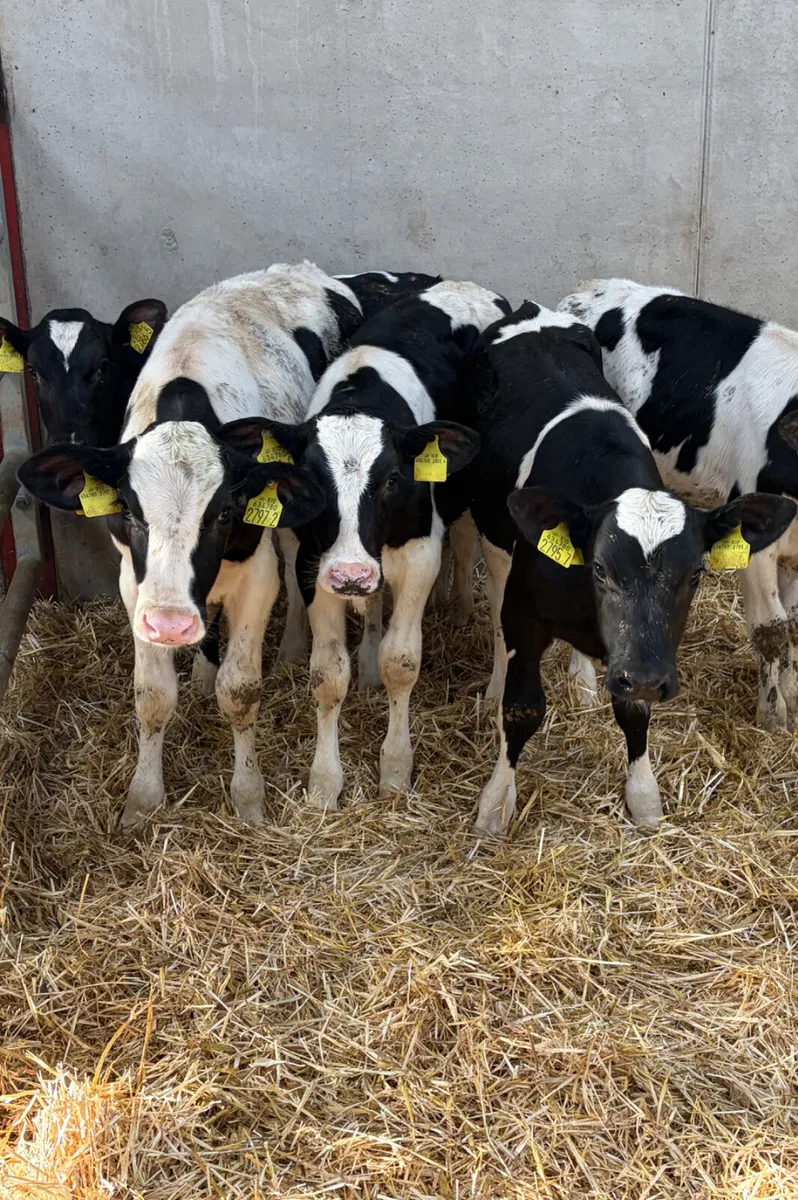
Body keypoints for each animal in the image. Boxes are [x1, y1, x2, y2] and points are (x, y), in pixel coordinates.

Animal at [18, 262, 373, 827]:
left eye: (225, 512)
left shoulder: (256, 575)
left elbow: (240, 688)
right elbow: (153, 694)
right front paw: (142, 797)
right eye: (128, 511)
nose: (170, 626)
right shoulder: (135, 583)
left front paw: (248, 795)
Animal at [218, 280, 511, 810]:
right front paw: (324, 782)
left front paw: (394, 769)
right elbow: (329, 674)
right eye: (312, 480)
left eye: (394, 478)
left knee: (461, 542)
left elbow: (402, 661)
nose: (351, 574)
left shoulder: (419, 555)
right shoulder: (317, 564)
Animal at [558, 278, 798, 732]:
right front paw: (772, 714)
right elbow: (772, 628)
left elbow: (794, 623)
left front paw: (791, 693)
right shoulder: (757, 542)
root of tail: (586, 289)